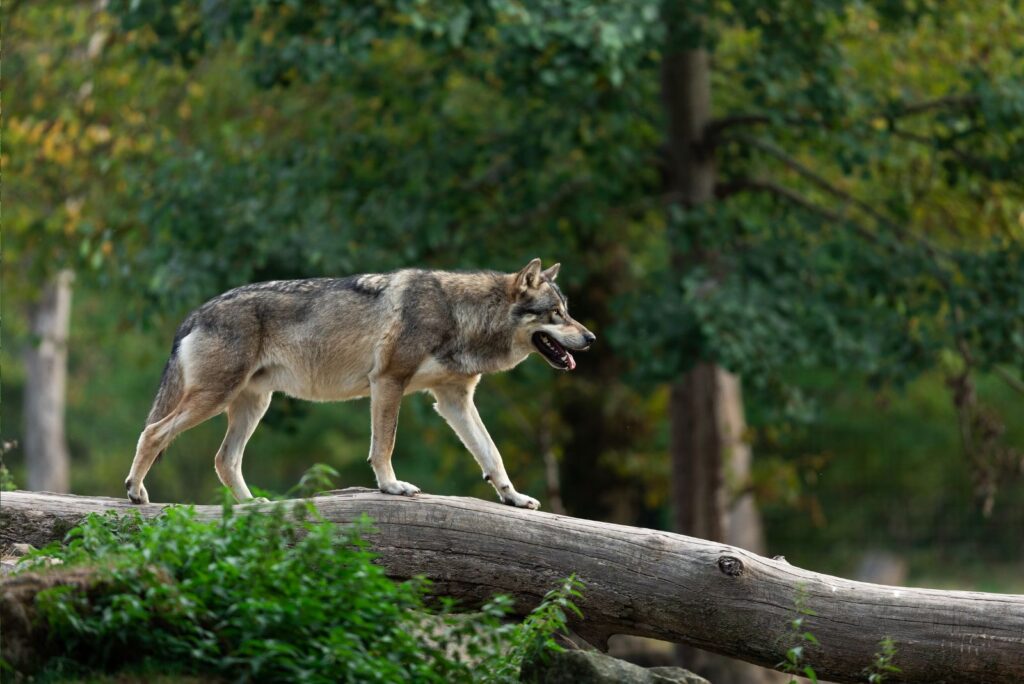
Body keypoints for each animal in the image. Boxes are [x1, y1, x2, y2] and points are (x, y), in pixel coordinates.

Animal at [124, 259, 598, 509]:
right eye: (556, 313)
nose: (592, 338)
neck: (461, 314)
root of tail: (194, 313)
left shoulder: (454, 401)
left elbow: (492, 455)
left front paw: (514, 498)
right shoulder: (388, 382)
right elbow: (383, 445)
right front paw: (392, 487)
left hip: (254, 405)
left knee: (224, 459)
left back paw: (252, 505)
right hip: (215, 399)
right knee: (152, 432)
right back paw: (135, 492)